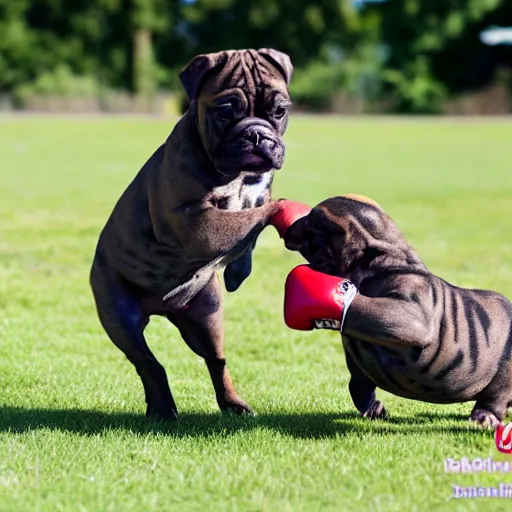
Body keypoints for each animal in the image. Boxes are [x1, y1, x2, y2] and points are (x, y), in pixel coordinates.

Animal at [90, 49, 294, 420]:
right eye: (225, 111)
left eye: (279, 111)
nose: (258, 134)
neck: (238, 175)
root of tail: (161, 308)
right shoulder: (198, 224)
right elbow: (254, 217)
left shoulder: (255, 196)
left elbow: (252, 228)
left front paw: (239, 271)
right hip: (119, 317)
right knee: (148, 362)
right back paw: (162, 407)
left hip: (207, 316)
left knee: (216, 361)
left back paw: (233, 404)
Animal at [282, 196, 512, 428]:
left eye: (312, 227)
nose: (288, 228)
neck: (377, 261)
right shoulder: (357, 363)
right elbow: (357, 385)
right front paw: (374, 409)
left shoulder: (412, 313)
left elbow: (363, 306)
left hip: (504, 370)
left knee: (495, 396)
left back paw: (484, 417)